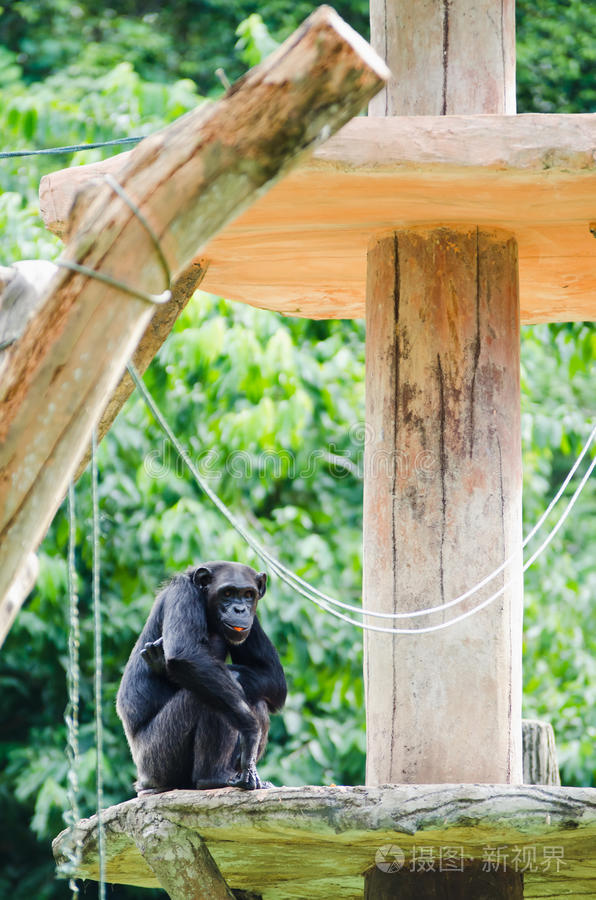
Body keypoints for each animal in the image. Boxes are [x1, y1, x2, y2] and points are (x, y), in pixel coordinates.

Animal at [116, 564, 286, 796]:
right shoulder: (183, 594)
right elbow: (185, 655)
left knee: (256, 700)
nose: (240, 610)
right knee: (205, 697)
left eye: (248, 595)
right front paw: (251, 731)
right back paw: (213, 777)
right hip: (157, 759)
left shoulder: (254, 622)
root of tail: (143, 783)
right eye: (228, 593)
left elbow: (272, 675)